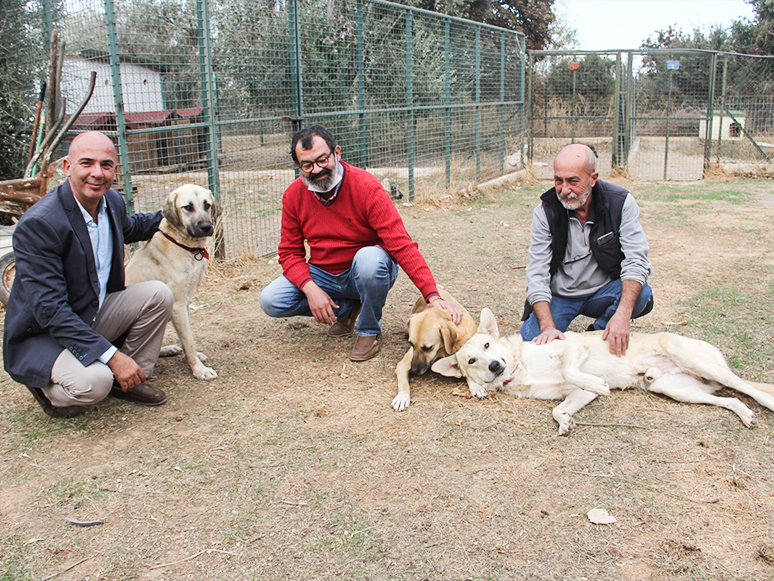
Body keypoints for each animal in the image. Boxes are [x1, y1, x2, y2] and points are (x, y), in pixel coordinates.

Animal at [434, 308, 774, 436]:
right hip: (677, 390)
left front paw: (600, 385)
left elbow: (573, 371)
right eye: (472, 361)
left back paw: (765, 403)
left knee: (746, 387)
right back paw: (744, 415)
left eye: (488, 345)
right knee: (730, 399)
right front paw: (566, 421)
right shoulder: (575, 394)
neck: (519, 367)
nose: (494, 366)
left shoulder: (573, 349)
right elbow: (559, 409)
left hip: (696, 363)